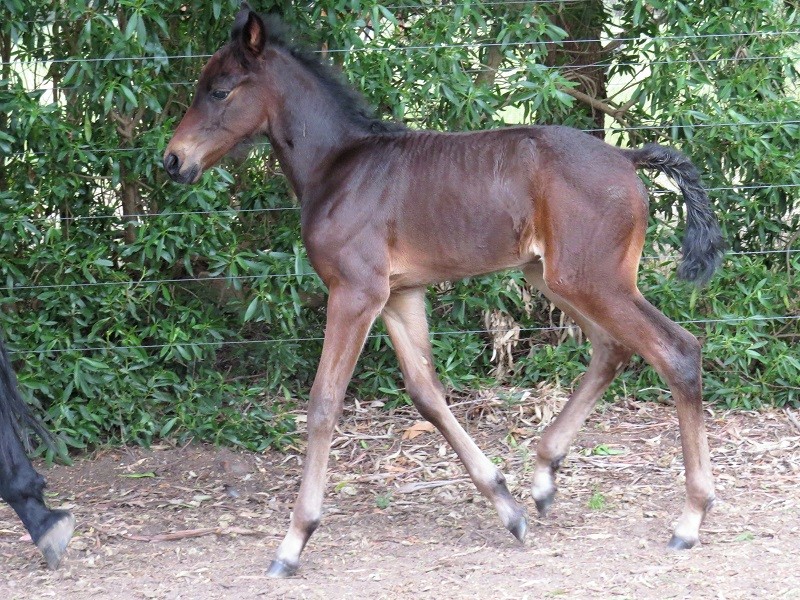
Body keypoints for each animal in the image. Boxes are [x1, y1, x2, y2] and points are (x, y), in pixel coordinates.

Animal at [162, 4, 724, 576]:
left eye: (220, 90)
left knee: (677, 350)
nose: (173, 161)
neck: (338, 166)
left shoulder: (355, 293)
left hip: (591, 279)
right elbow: (427, 393)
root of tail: (627, 160)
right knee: (612, 348)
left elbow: (324, 402)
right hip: (553, 277)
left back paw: (690, 519)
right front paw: (508, 507)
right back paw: (544, 477)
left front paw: (294, 540)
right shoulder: (398, 296)